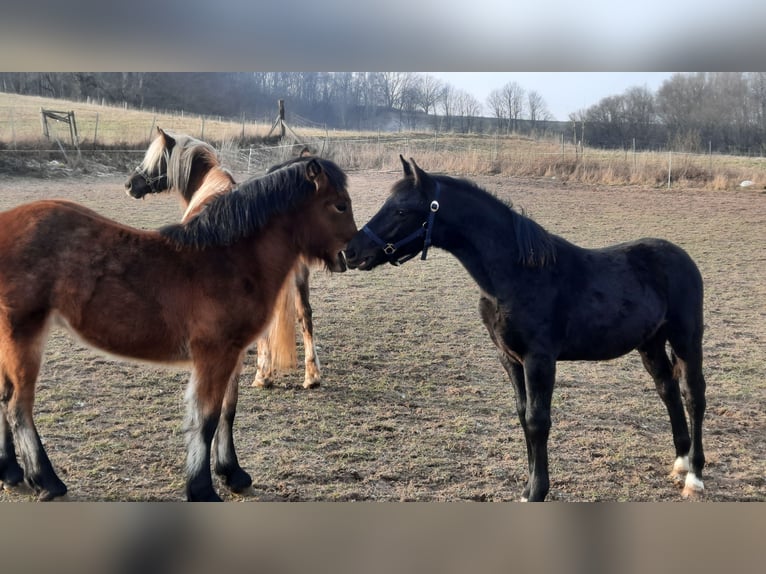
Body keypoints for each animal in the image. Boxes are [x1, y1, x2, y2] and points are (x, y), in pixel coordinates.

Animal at [0, 158, 356, 501]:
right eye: (340, 205)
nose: (351, 254)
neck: (228, 259)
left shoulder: (233, 354)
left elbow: (227, 411)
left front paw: (232, 474)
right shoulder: (214, 355)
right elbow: (205, 419)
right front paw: (201, 489)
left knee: (5, 399)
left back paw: (12, 474)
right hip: (24, 334)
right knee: (19, 407)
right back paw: (47, 481)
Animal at [344, 156, 706, 502]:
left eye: (402, 210)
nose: (351, 251)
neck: (517, 275)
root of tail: (682, 257)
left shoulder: (539, 360)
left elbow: (537, 421)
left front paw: (536, 492)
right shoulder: (510, 359)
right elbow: (522, 415)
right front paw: (526, 488)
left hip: (687, 339)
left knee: (693, 395)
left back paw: (694, 476)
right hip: (651, 344)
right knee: (667, 389)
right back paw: (680, 462)